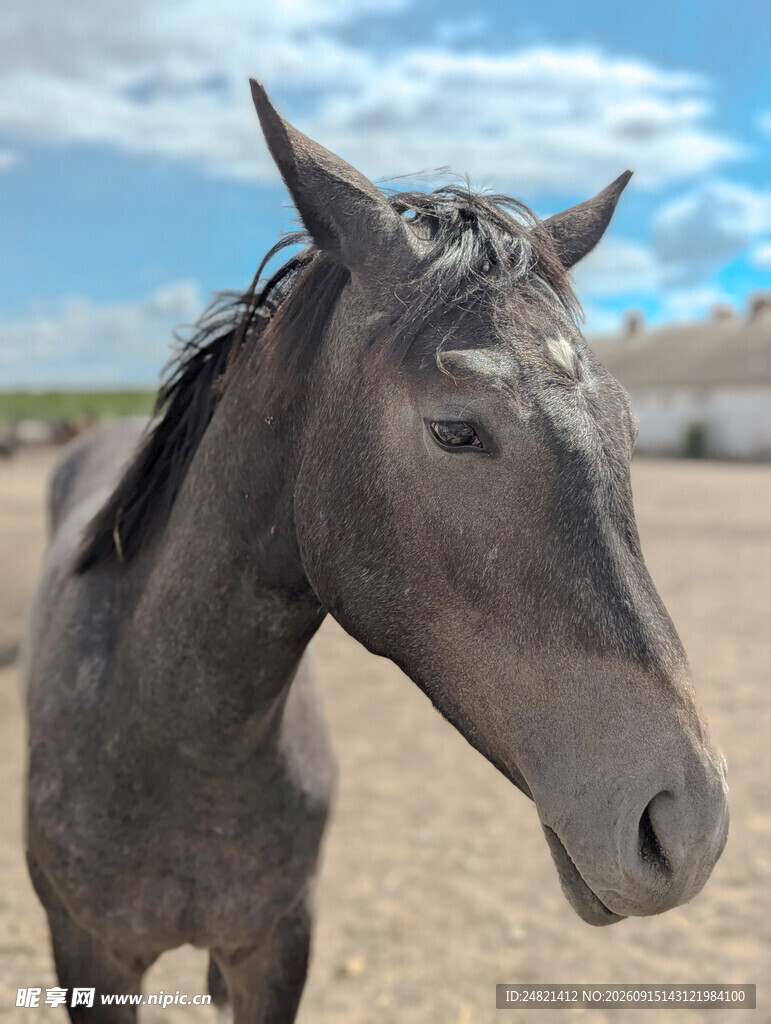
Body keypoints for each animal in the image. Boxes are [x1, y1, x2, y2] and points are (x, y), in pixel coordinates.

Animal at [21, 80, 729, 1022]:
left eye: (629, 426)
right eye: (456, 429)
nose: (688, 826)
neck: (166, 737)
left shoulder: (276, 946)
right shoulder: (91, 955)